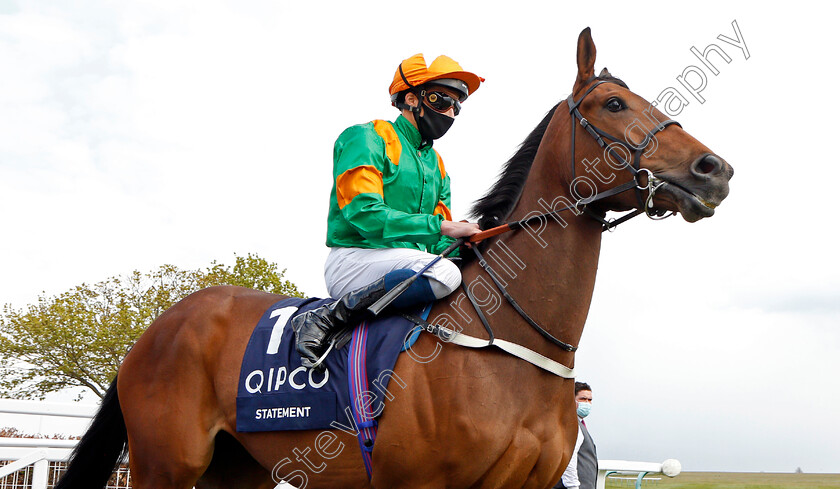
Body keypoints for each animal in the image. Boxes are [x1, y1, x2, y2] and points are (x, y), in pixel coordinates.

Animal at [57, 28, 728, 488]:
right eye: (613, 104)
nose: (714, 169)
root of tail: (157, 328)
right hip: (164, 463)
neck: (511, 344)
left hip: (238, 467)